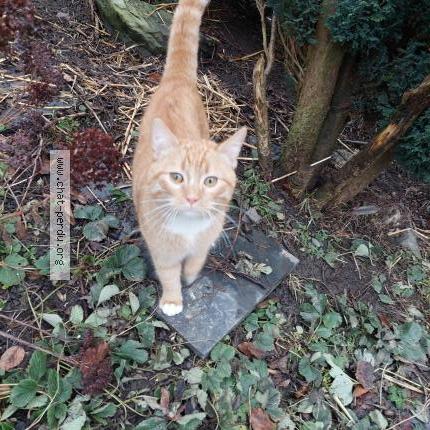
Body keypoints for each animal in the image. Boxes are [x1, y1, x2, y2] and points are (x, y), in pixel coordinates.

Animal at [132, 0, 247, 316]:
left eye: (210, 181)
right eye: (176, 177)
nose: (193, 198)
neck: (188, 229)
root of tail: (178, 79)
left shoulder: (205, 240)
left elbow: (196, 261)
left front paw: (191, 277)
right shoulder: (162, 250)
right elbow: (169, 274)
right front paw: (173, 299)